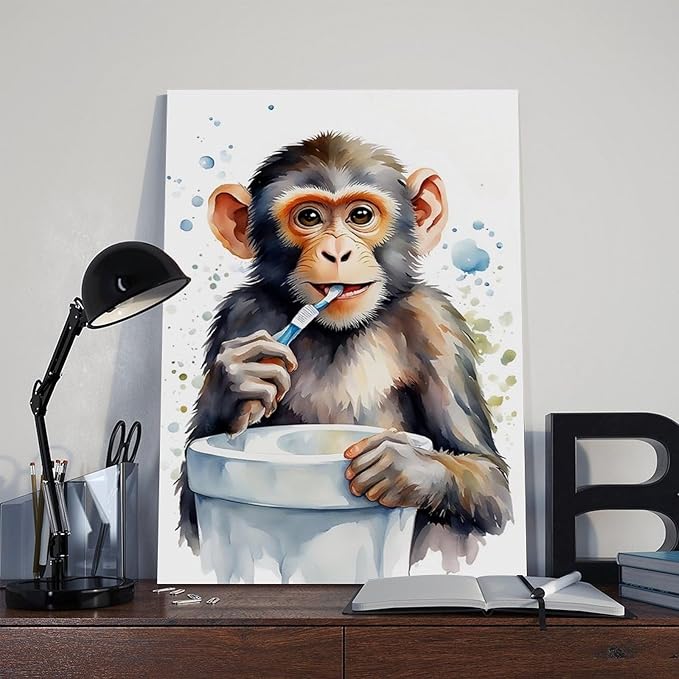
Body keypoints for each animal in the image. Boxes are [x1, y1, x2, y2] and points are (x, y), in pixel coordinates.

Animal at [177, 131, 513, 572]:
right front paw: (241, 380)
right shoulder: (239, 316)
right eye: (309, 218)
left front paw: (406, 466)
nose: (337, 253)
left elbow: (490, 478)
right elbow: (192, 503)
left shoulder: (439, 328)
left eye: (360, 215)